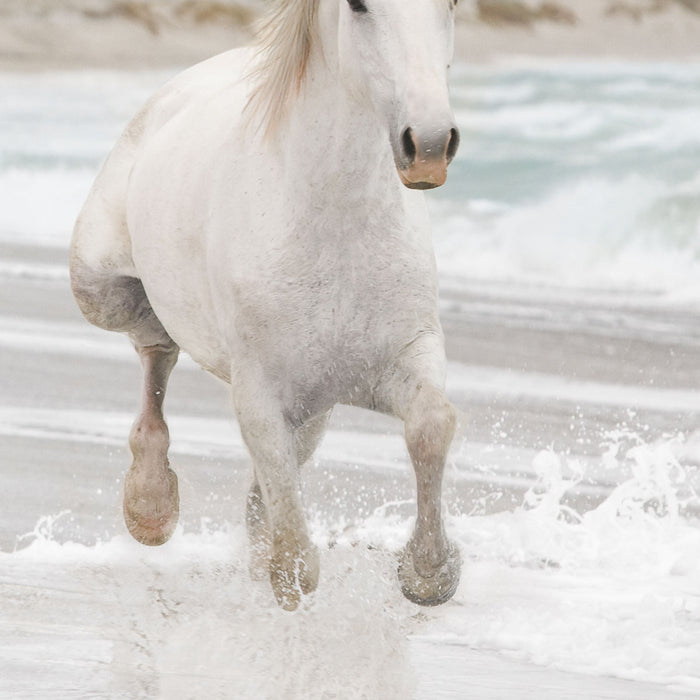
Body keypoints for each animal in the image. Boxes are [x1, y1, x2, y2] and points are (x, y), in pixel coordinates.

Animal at [70, 0, 462, 611]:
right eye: (358, 6)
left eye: (452, 5)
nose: (428, 145)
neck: (333, 224)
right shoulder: (259, 393)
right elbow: (295, 555)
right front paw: (284, 573)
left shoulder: (405, 354)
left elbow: (431, 426)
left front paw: (428, 573)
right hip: (98, 289)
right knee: (155, 346)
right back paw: (150, 505)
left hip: (317, 410)